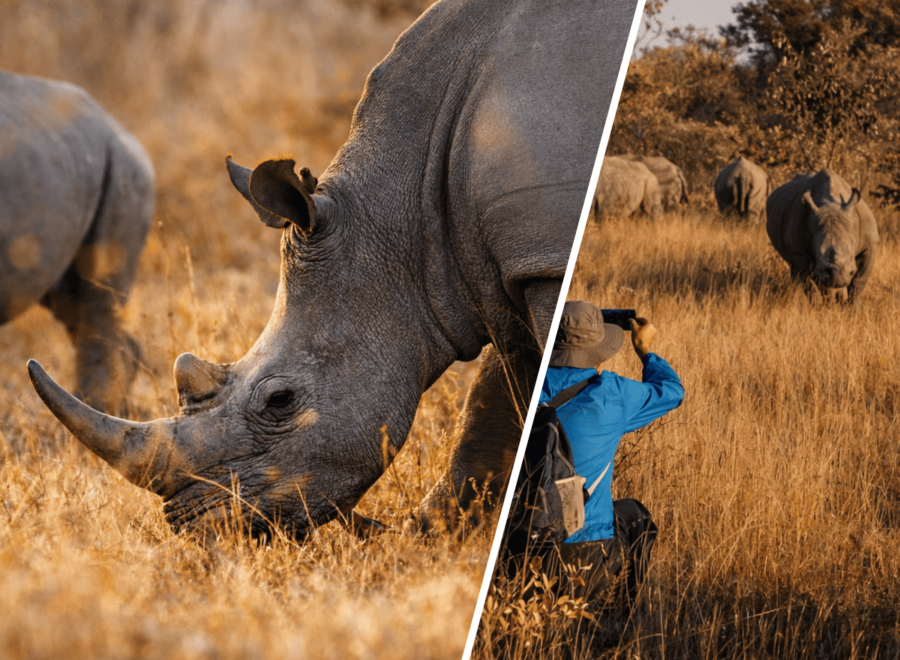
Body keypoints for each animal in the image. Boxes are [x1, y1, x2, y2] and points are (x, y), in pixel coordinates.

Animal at [27, 0, 637, 540]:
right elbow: (494, 405)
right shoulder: (502, 272)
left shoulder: (541, 260)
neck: (408, 214)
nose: (194, 526)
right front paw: (430, 538)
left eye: (280, 401)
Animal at [766, 169, 879, 303]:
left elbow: (858, 282)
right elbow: (809, 284)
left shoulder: (869, 245)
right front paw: (818, 305)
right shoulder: (798, 252)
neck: (830, 201)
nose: (838, 277)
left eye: (851, 253)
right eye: (817, 253)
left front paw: (853, 307)